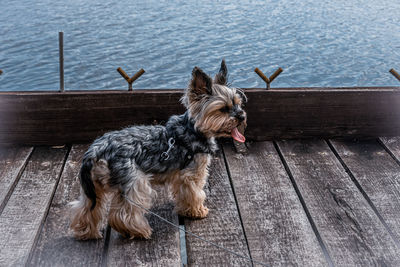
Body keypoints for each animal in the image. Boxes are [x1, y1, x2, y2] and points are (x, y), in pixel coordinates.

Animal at [70, 60, 248, 241]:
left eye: (237, 103)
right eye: (223, 109)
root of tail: (96, 150)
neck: (193, 129)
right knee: (123, 212)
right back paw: (137, 231)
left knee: (86, 207)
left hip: (94, 185)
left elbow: (182, 193)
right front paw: (198, 211)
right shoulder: (192, 173)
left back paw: (86, 232)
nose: (242, 116)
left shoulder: (179, 176)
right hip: (135, 180)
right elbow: (194, 193)